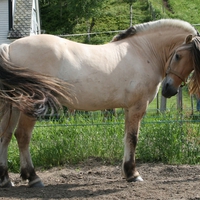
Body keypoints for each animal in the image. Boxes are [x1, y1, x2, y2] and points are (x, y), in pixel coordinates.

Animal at [0, 19, 198, 188]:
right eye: (178, 55)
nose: (169, 89)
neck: (144, 51)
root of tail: (10, 47)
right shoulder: (137, 107)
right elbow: (133, 138)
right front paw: (133, 174)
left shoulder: (128, 109)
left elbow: (126, 138)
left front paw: (127, 172)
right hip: (31, 106)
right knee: (22, 136)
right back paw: (33, 177)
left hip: (14, 106)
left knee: (6, 136)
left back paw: (6, 180)